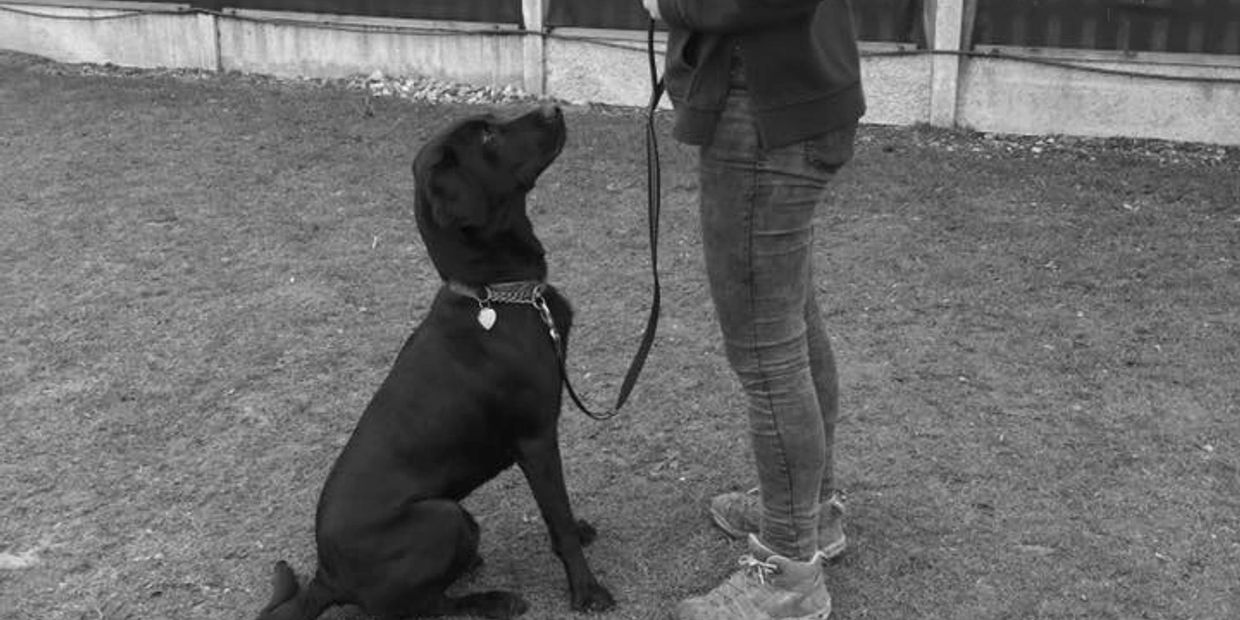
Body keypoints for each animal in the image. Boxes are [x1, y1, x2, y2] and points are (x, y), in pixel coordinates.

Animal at [256, 106, 615, 620]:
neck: (496, 293)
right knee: (425, 604)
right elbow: (559, 518)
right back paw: (494, 599)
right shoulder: (537, 438)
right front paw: (586, 590)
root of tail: (327, 576)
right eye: (486, 135)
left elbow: (559, 517)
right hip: (444, 516)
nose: (553, 108)